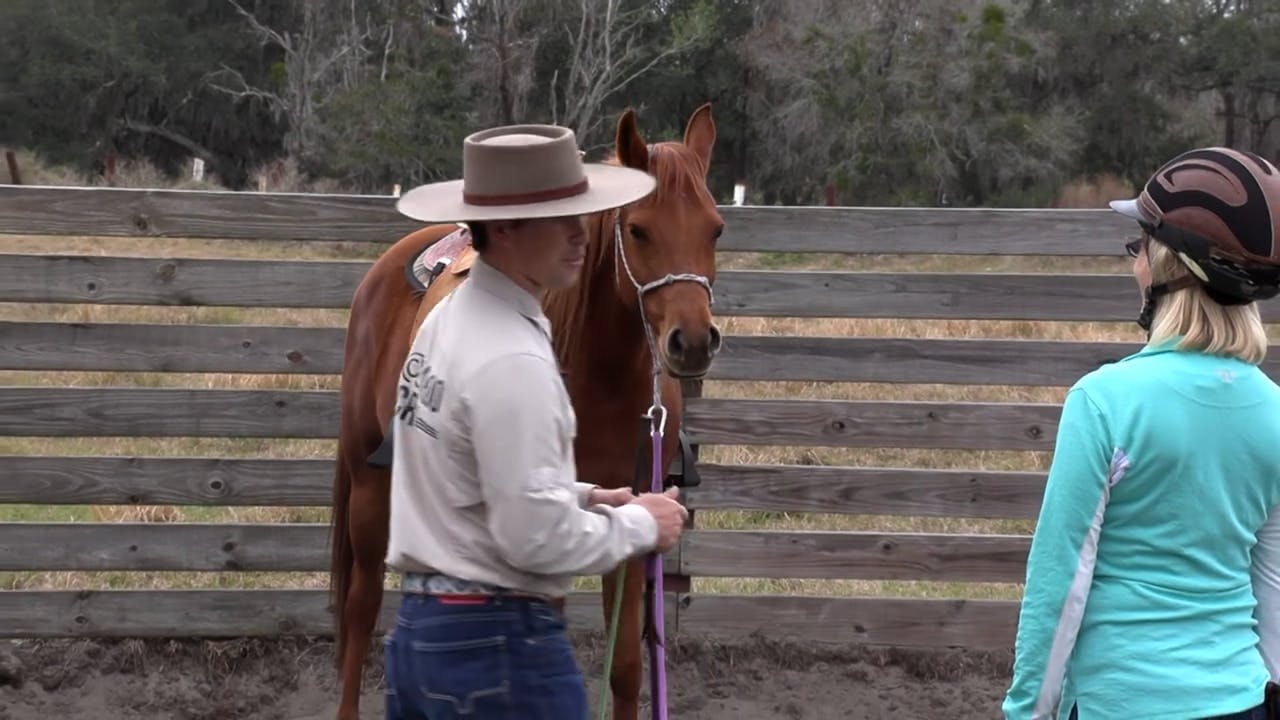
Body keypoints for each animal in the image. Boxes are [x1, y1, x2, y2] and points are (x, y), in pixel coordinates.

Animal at [328, 102, 724, 720]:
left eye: (715, 228)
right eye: (638, 229)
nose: (694, 342)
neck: (604, 373)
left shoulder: (631, 504)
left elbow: (627, 667)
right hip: (369, 486)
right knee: (360, 606)